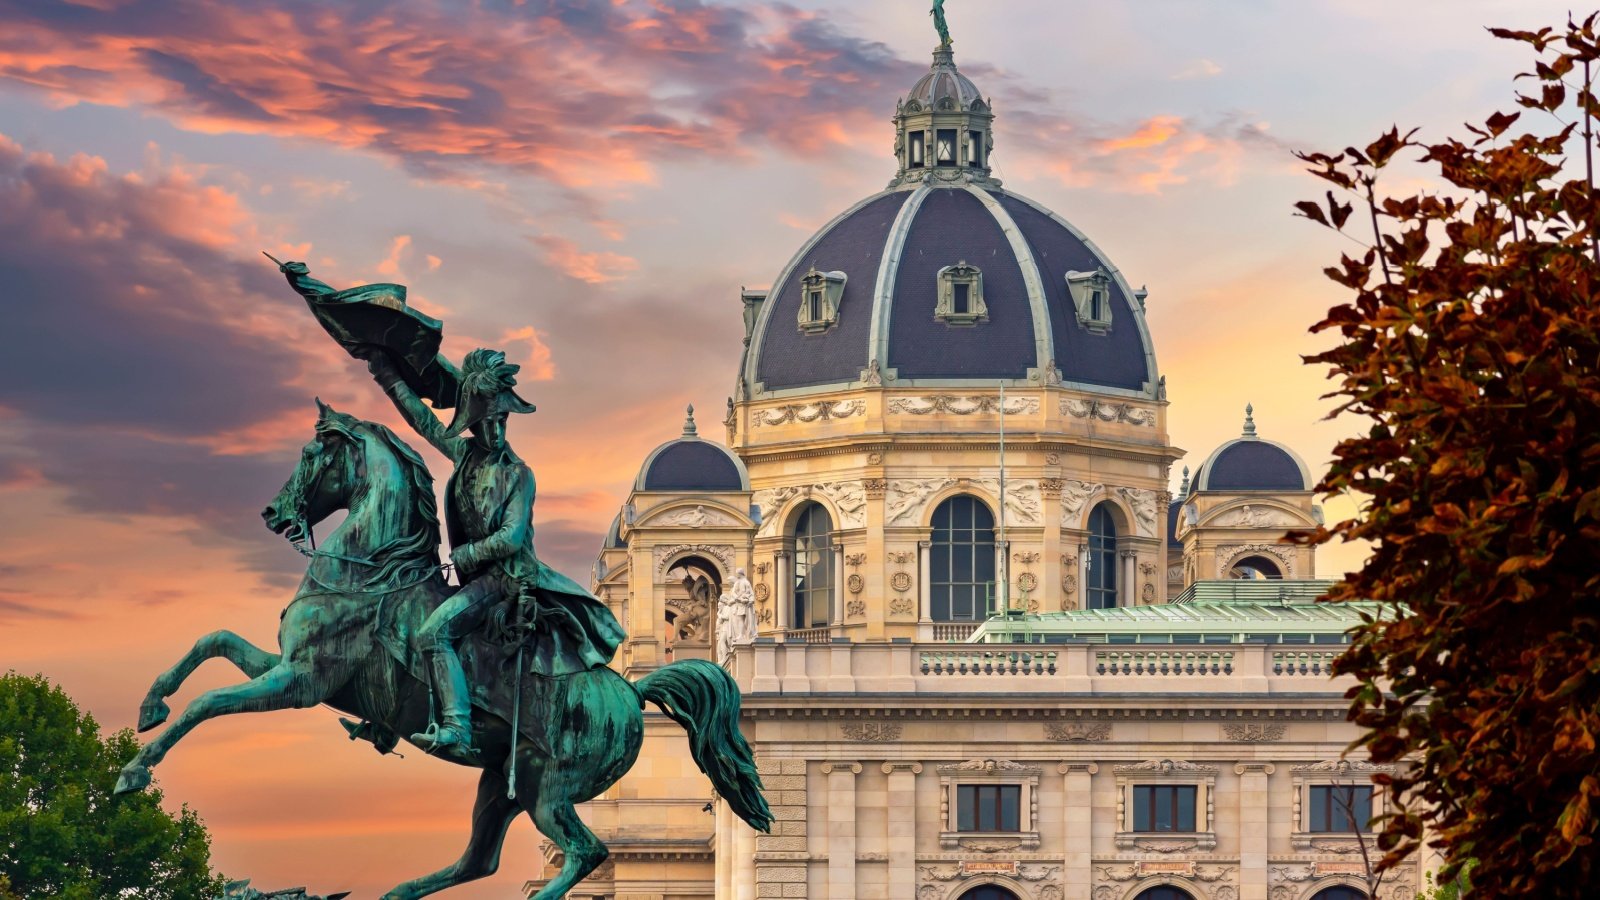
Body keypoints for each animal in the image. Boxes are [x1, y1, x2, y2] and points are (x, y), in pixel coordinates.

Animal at [116, 400, 771, 896]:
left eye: (310, 454)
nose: (273, 513)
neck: (373, 574)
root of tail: (632, 693)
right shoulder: (291, 667)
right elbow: (213, 640)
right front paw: (150, 704)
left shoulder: (301, 681)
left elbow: (208, 704)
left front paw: (133, 771)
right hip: (504, 785)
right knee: (480, 860)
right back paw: (398, 892)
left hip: (552, 791)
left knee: (587, 852)